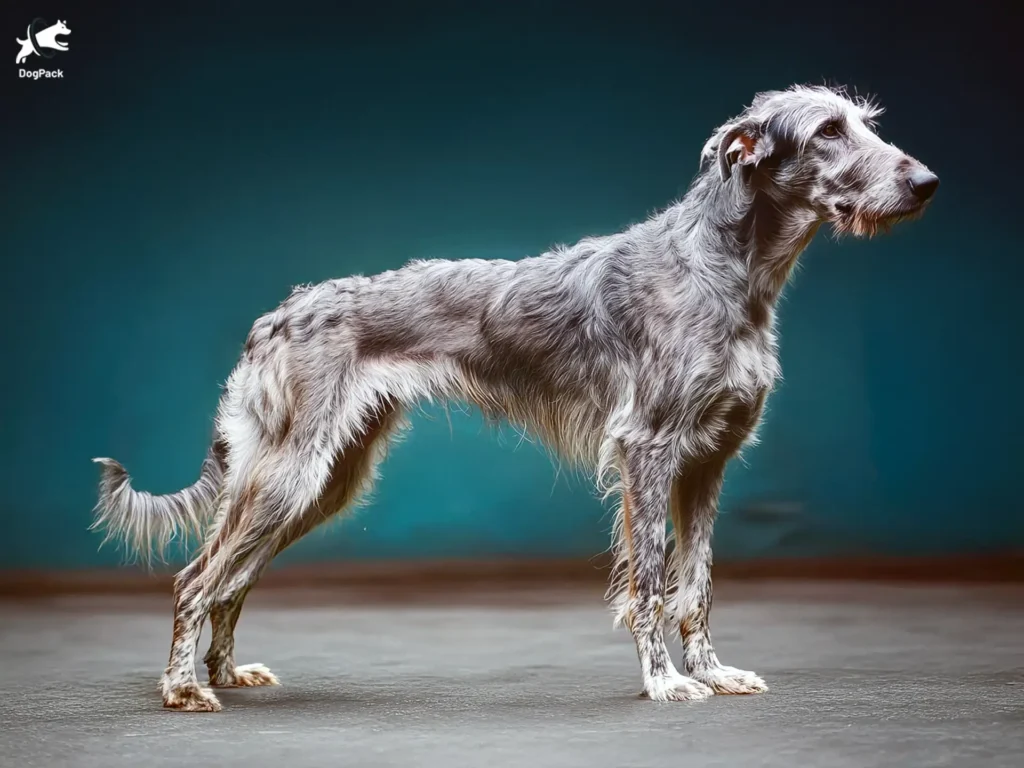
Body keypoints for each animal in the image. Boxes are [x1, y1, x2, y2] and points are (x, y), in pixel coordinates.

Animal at [92, 81, 937, 712]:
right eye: (827, 130)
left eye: (864, 123)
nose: (925, 183)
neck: (725, 268)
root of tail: (274, 317)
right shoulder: (648, 450)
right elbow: (652, 581)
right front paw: (664, 681)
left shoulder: (708, 464)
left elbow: (694, 586)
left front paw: (712, 672)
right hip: (290, 475)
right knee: (196, 579)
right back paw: (182, 689)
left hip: (323, 482)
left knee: (232, 579)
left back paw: (226, 673)